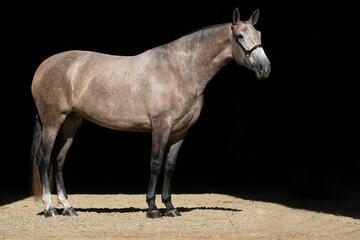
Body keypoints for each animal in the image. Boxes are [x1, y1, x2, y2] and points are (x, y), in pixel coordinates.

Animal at [31, 7, 272, 218]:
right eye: (240, 36)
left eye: (259, 34)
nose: (265, 68)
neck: (180, 69)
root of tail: (43, 66)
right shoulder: (161, 125)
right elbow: (155, 164)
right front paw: (153, 208)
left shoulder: (180, 131)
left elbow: (169, 166)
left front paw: (171, 207)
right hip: (53, 121)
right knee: (44, 158)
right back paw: (50, 208)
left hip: (72, 121)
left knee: (59, 160)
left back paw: (68, 207)